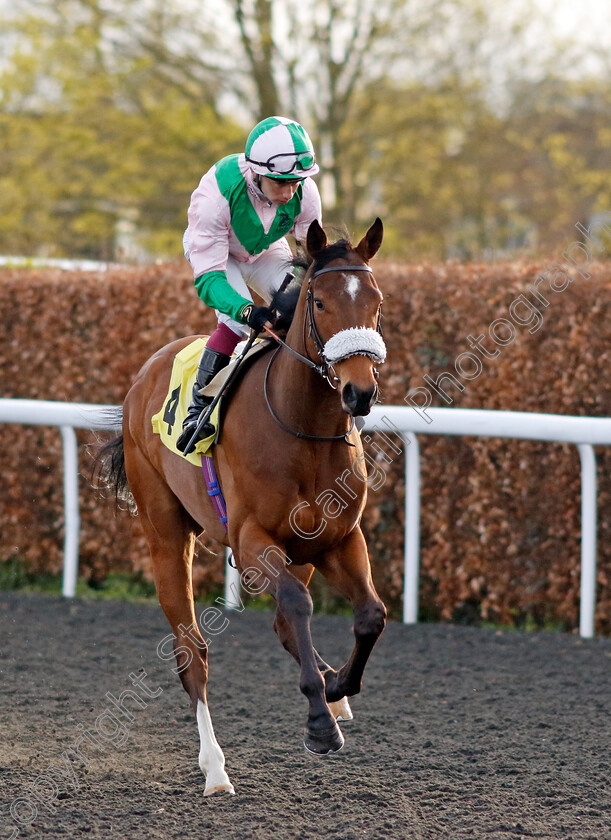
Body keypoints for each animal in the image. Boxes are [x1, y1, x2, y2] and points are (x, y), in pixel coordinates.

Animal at [98, 217, 390, 796]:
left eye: (376, 301)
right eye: (318, 301)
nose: (359, 392)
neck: (303, 429)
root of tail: (145, 374)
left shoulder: (339, 538)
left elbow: (371, 614)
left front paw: (337, 688)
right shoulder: (253, 541)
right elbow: (297, 606)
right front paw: (319, 723)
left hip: (301, 551)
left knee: (282, 624)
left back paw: (331, 689)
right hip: (166, 536)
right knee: (193, 652)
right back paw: (215, 768)